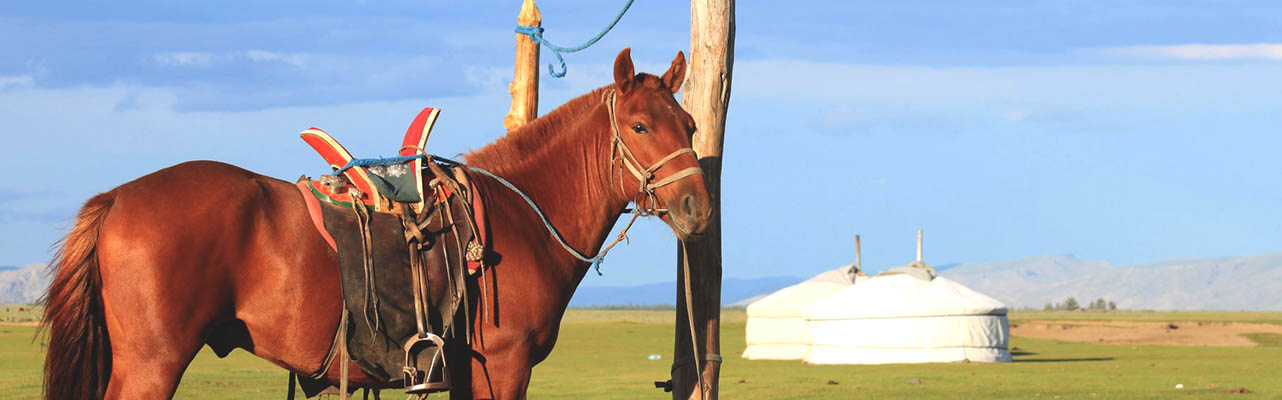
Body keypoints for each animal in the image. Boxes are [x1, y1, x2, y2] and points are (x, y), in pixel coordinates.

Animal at [40, 49, 712, 400]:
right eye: (641, 126)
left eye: (690, 126)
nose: (698, 208)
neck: (520, 219)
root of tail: (118, 198)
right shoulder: (504, 369)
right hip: (151, 366)